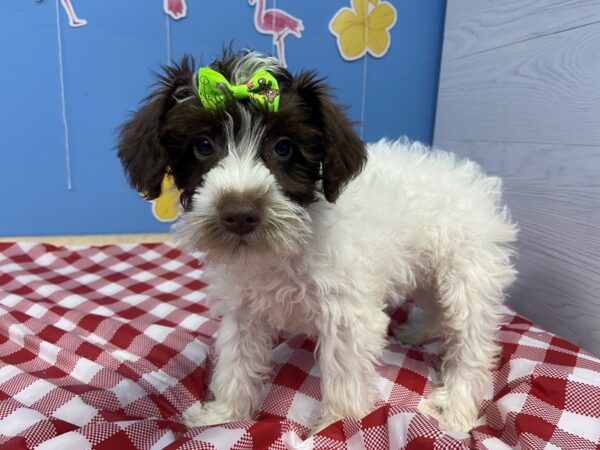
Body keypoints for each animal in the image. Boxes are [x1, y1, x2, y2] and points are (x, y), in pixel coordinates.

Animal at [117, 49, 516, 432]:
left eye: (283, 148)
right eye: (202, 145)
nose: (240, 213)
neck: (283, 245)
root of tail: (471, 175)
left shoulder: (347, 316)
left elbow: (344, 378)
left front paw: (339, 426)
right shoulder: (243, 310)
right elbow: (236, 361)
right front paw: (224, 415)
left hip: (468, 274)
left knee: (471, 343)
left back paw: (457, 407)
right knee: (435, 307)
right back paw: (418, 332)